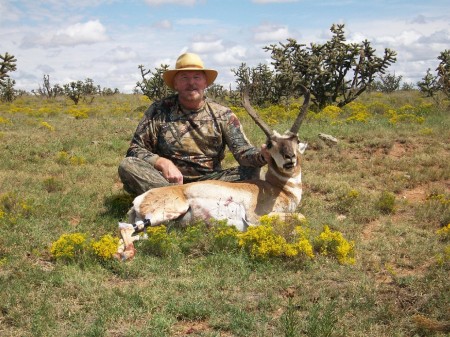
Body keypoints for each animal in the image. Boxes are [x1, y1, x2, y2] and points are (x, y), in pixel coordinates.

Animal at [117, 85, 310, 258]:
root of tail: (139, 199)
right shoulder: (256, 216)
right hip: (168, 212)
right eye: (270, 144)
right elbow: (301, 217)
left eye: (296, 140)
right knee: (125, 229)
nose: (289, 158)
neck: (277, 189)